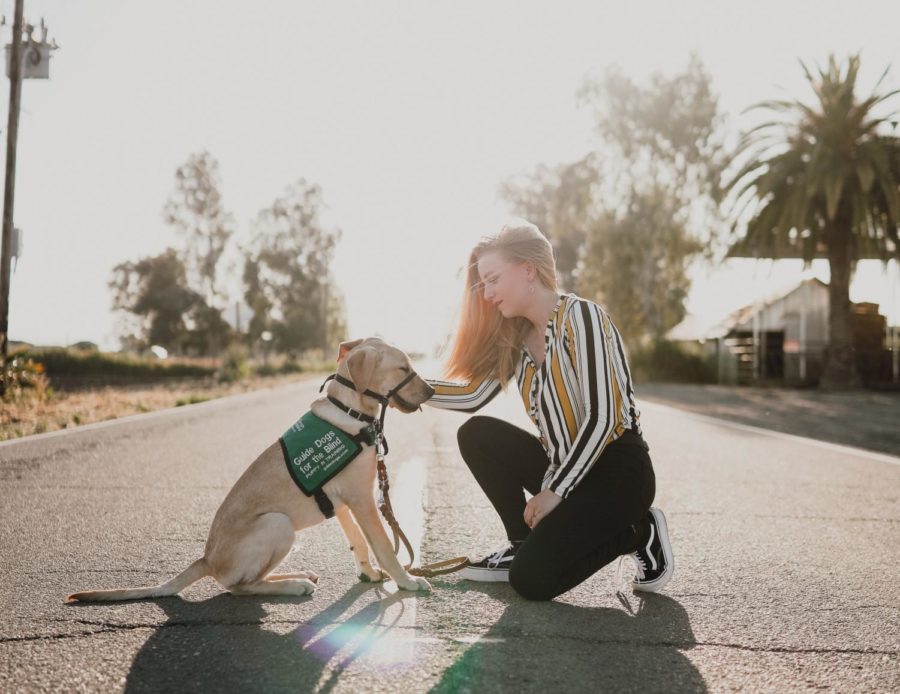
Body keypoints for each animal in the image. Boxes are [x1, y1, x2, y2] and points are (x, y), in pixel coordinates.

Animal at [67, 338, 436, 604]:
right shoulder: (363, 500)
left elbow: (359, 543)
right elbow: (384, 547)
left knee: (251, 580)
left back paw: (295, 577)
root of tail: (206, 559)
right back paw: (293, 586)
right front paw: (405, 581)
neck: (350, 412)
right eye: (403, 366)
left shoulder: (346, 504)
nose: (433, 391)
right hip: (278, 524)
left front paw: (370, 574)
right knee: (239, 587)